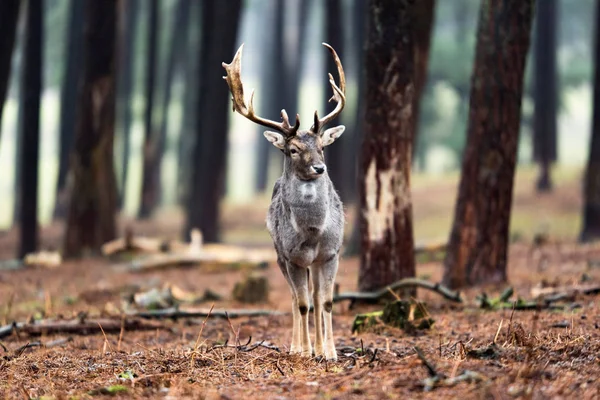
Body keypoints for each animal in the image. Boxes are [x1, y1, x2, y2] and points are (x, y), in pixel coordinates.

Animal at [221, 43, 344, 362]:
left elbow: (326, 302)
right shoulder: (292, 257)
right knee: (295, 298)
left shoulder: (332, 253)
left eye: (322, 146)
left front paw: (330, 353)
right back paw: (298, 347)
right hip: (278, 255)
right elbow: (301, 304)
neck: (312, 233)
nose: (319, 168)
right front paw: (304, 351)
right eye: (293, 149)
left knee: (315, 298)